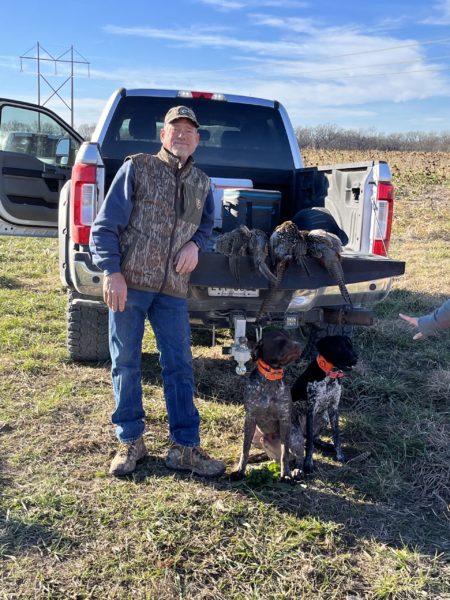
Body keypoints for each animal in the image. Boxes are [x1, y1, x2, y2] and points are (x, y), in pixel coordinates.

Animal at [230, 330, 300, 480]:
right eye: (279, 340)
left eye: (290, 338)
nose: (299, 345)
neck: (270, 378)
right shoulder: (250, 419)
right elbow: (245, 449)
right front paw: (240, 471)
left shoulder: (284, 420)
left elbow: (285, 454)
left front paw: (286, 474)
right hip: (259, 437)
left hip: (294, 437)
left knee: (297, 458)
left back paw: (297, 470)